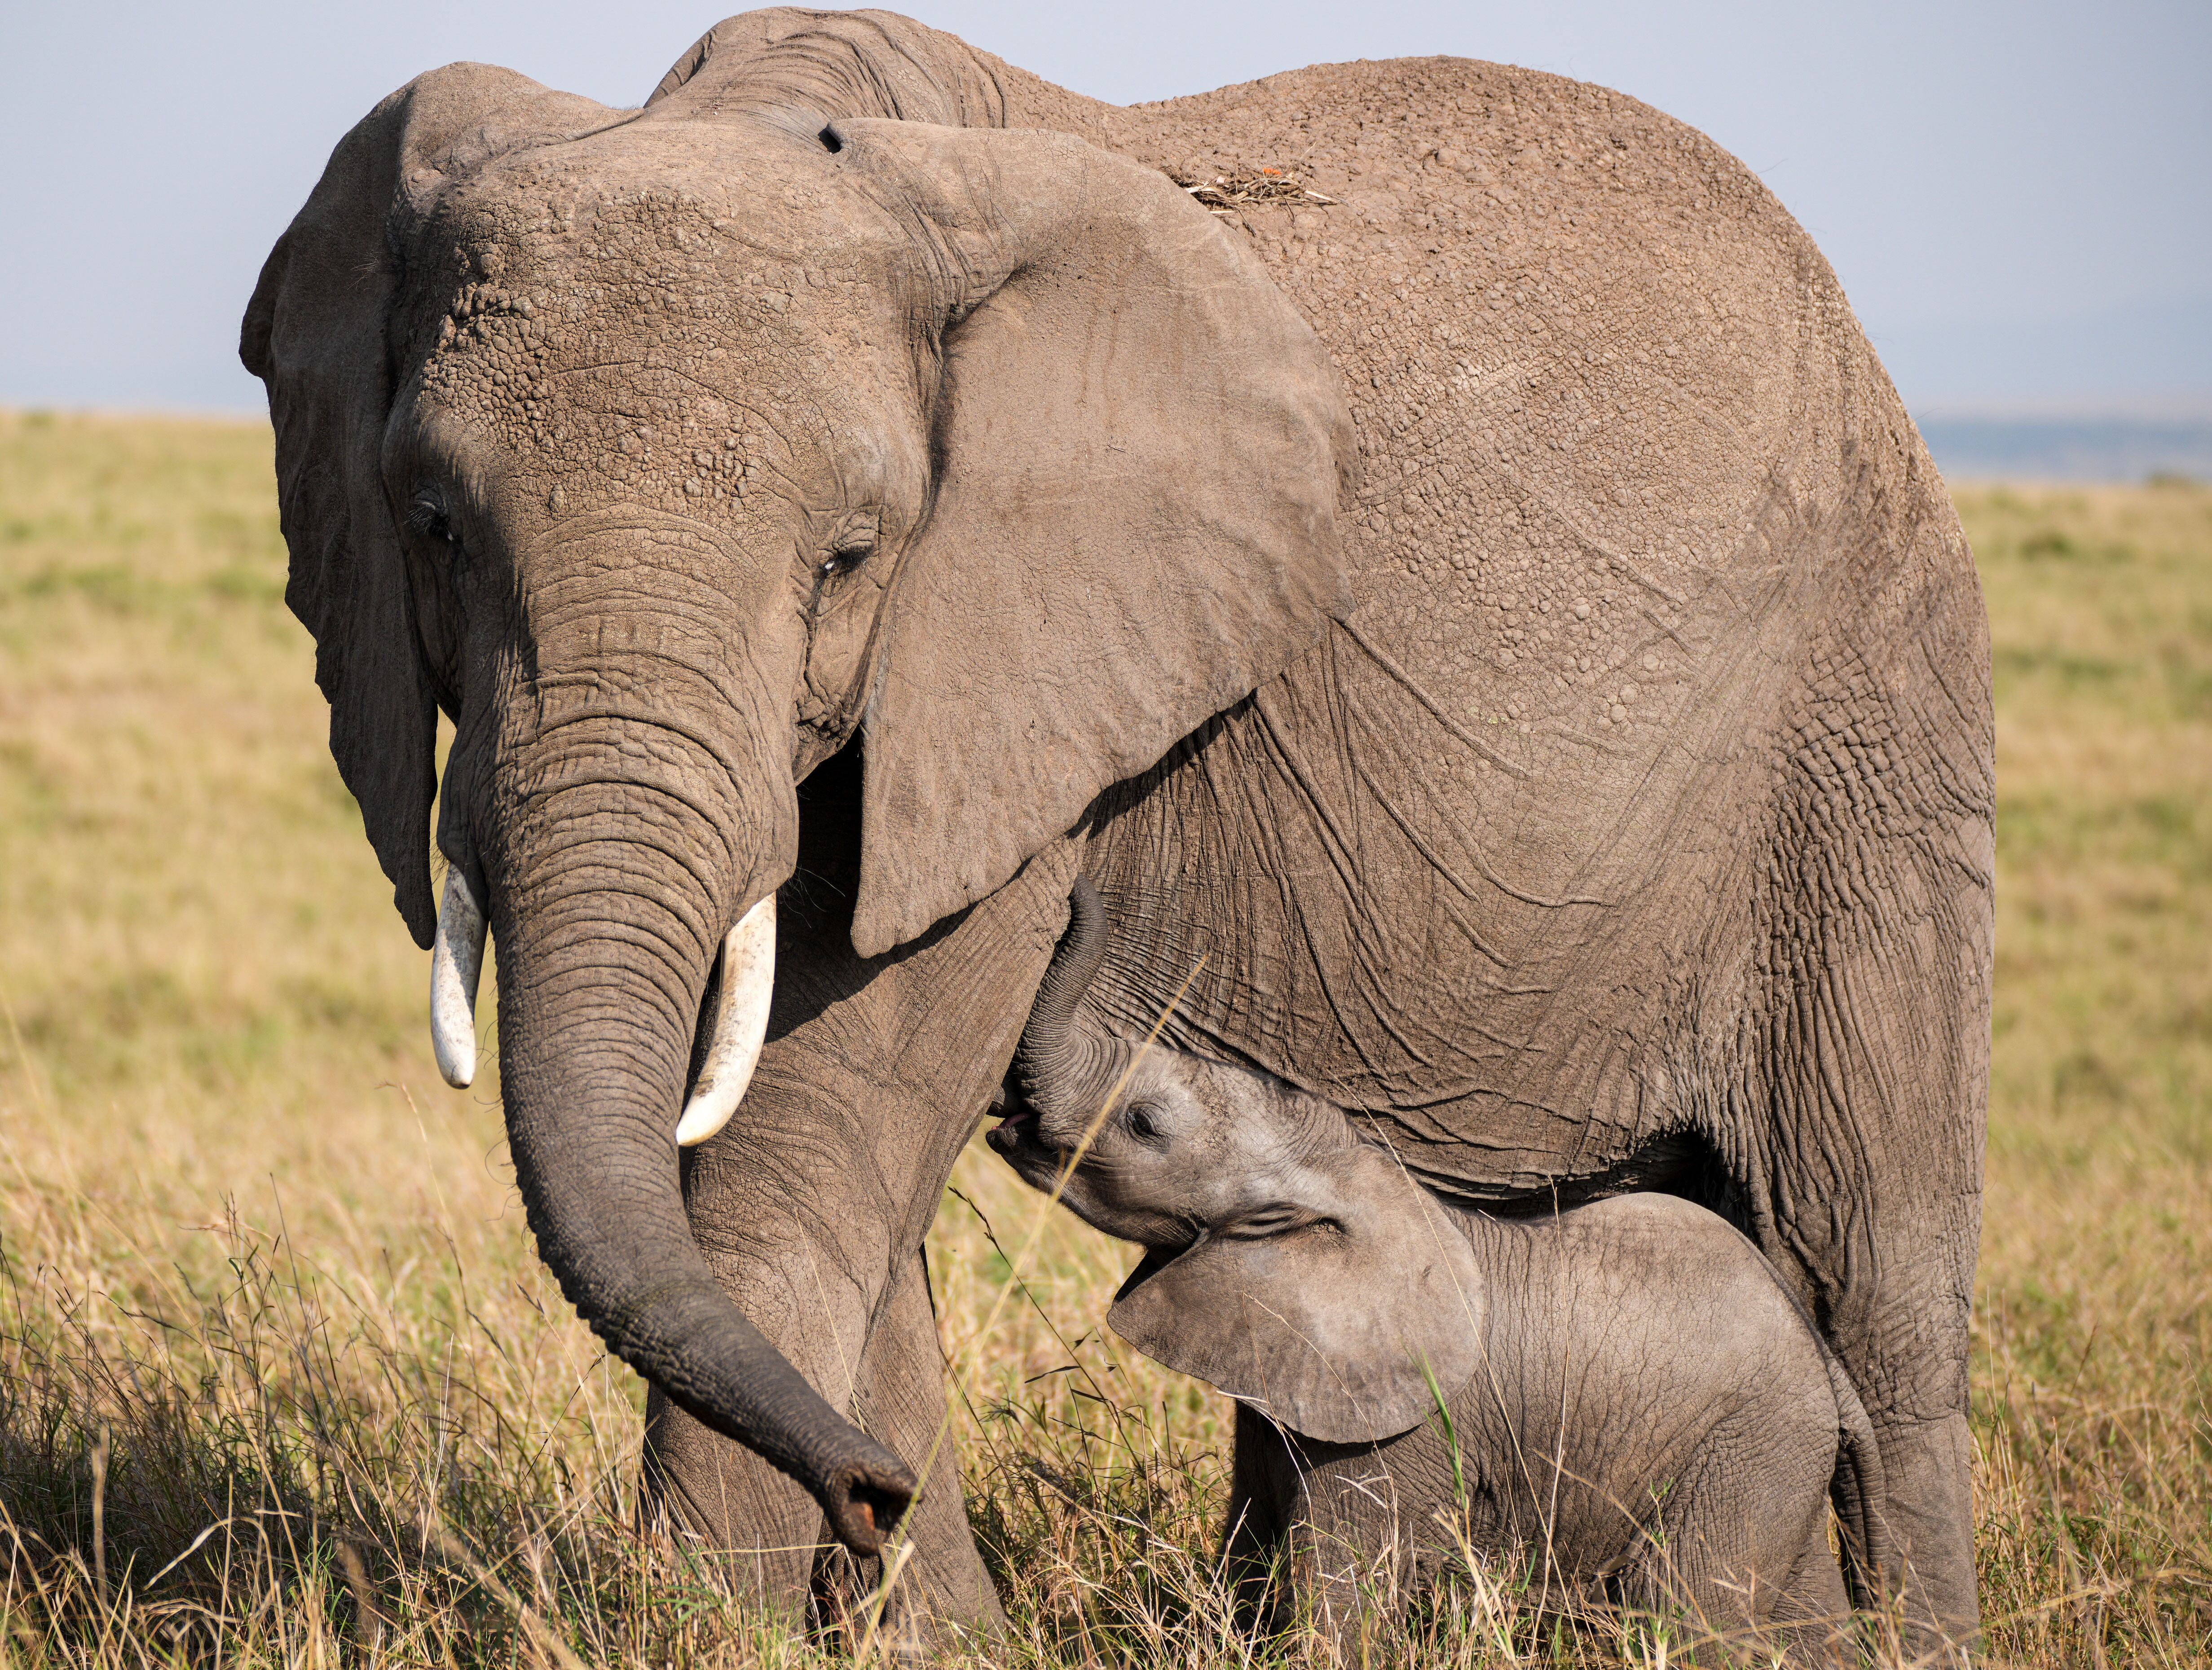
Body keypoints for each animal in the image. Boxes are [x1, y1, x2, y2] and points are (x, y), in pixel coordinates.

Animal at [991, 875, 1896, 1657]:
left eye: (1143, 1125)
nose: (1075, 883)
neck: (1354, 1172)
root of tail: (1825, 1368)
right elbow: (1248, 1541)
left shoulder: (1403, 1428)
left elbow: (1342, 1587)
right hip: (1771, 1459)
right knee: (1800, 1617)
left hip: (1742, 1449)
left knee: (1685, 1610)